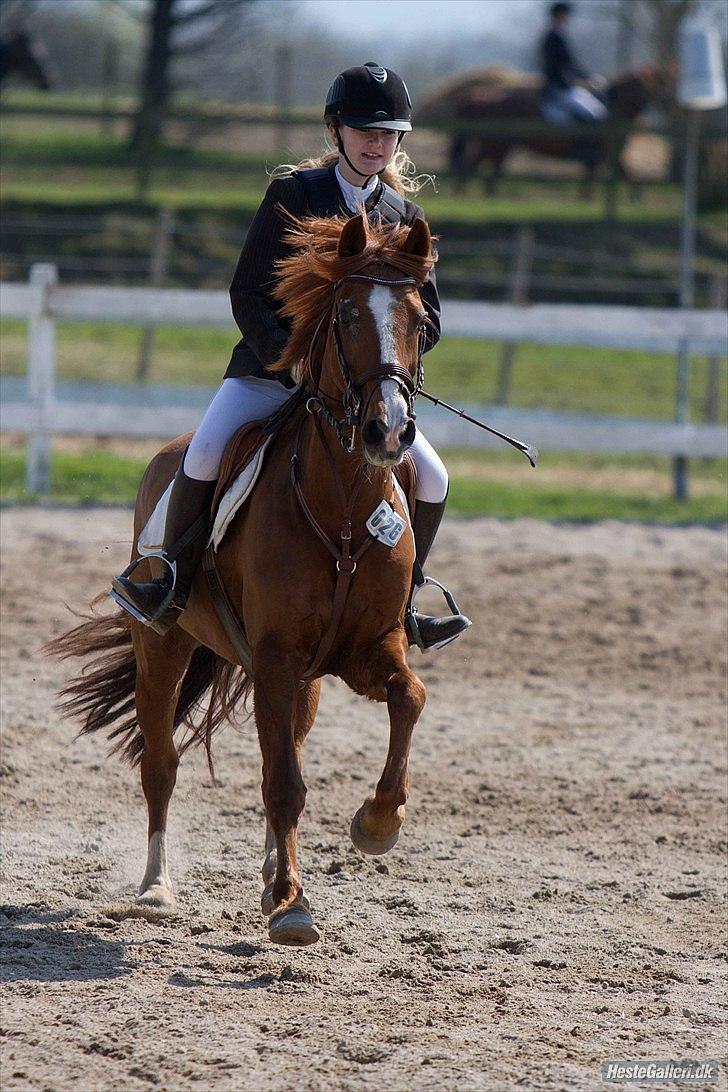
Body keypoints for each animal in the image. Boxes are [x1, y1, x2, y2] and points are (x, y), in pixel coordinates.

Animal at [48, 212, 440, 947]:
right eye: (346, 314)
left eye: (418, 317)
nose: (389, 432)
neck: (346, 510)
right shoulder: (278, 658)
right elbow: (283, 783)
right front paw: (291, 904)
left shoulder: (366, 651)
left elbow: (409, 699)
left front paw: (376, 825)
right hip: (164, 648)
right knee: (161, 764)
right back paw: (157, 887)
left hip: (300, 680)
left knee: (284, 747)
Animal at [438, 66, 672, 196]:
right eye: (655, 86)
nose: (668, 104)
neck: (613, 110)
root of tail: (476, 96)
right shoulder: (609, 152)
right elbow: (627, 175)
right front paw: (636, 200)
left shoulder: (604, 155)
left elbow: (600, 177)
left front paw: (586, 198)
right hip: (496, 144)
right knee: (474, 167)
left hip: (496, 146)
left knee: (480, 169)